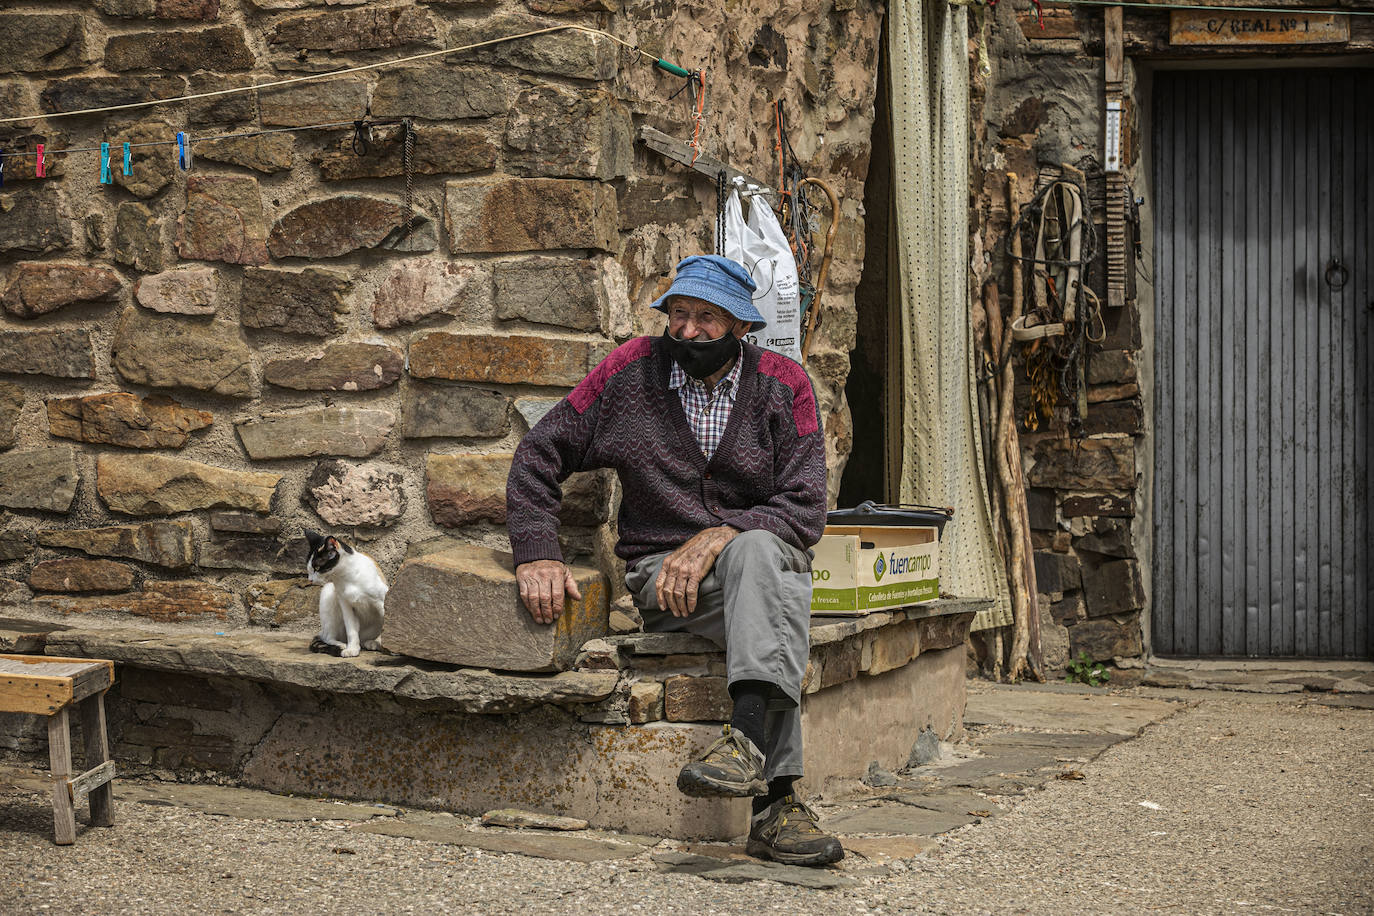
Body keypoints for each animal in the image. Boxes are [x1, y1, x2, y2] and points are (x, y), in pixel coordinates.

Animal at [303, 530, 384, 659]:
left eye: (317, 567)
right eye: (309, 568)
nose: (310, 580)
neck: (347, 577)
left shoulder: (382, 601)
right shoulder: (346, 605)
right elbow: (351, 630)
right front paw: (352, 649)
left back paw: (374, 642)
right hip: (328, 592)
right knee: (327, 637)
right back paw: (342, 644)